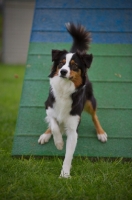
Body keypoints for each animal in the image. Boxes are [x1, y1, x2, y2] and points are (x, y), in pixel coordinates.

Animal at [38, 22, 107, 177]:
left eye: (74, 65)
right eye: (61, 63)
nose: (63, 71)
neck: (64, 89)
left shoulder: (73, 129)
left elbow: (68, 155)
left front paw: (64, 175)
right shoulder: (48, 107)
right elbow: (54, 124)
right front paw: (58, 143)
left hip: (89, 102)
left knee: (94, 116)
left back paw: (101, 133)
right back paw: (45, 135)